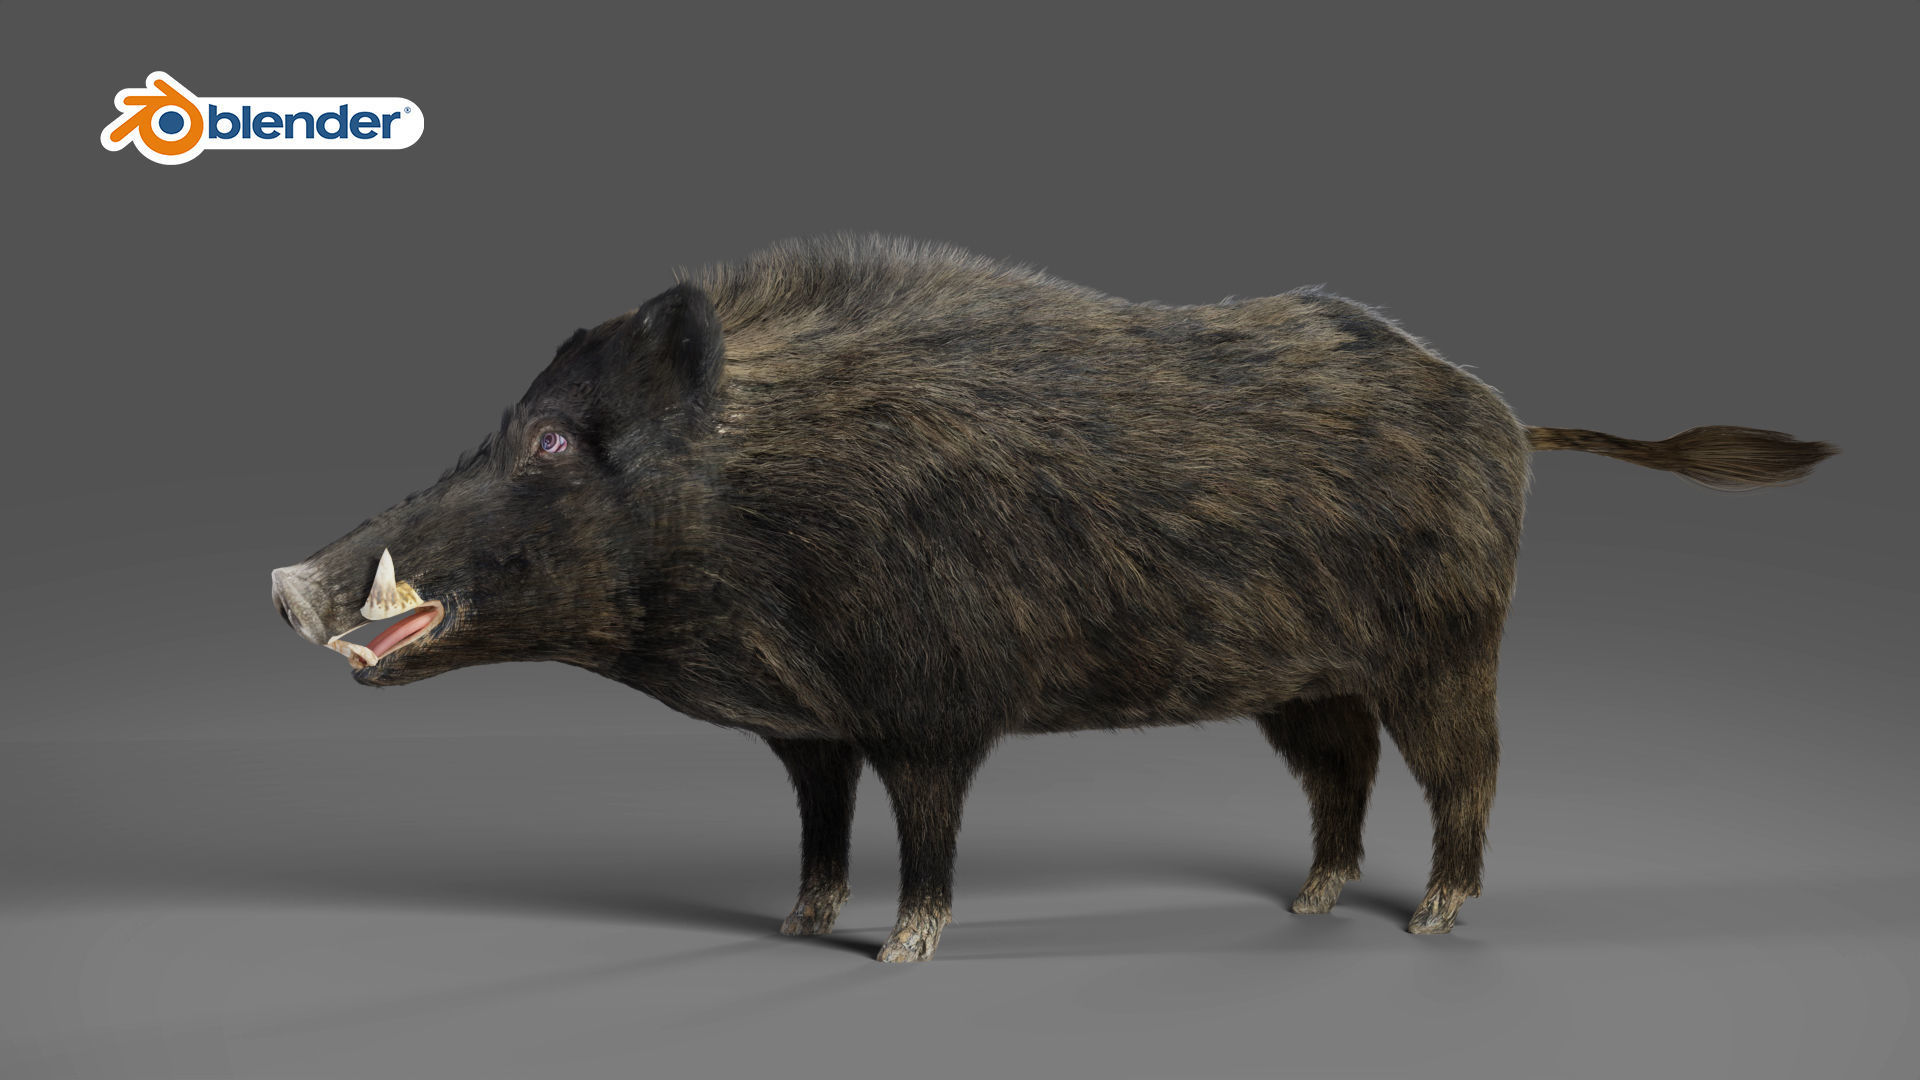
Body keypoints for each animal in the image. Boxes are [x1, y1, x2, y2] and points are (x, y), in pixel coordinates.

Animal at [271, 234, 1837, 962]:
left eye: (550, 444)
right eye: (509, 424)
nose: (287, 578)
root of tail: (1507, 415)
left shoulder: (931, 703)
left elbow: (929, 830)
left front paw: (900, 953)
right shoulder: (808, 726)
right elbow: (820, 823)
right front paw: (796, 926)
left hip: (1451, 640)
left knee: (1473, 771)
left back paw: (1433, 921)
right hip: (1309, 679)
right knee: (1340, 775)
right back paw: (1312, 903)